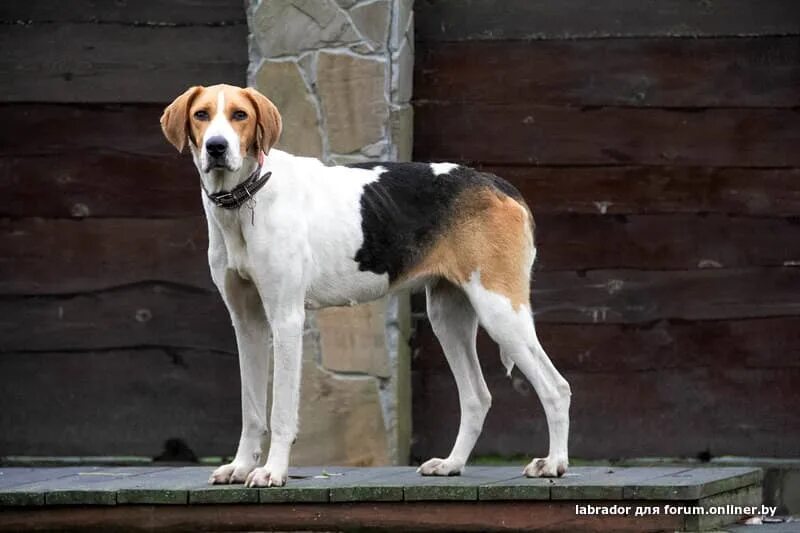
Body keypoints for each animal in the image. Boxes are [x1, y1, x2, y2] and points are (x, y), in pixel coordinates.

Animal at [159, 83, 568, 486]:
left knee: (556, 388)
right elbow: (252, 410)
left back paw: (553, 463)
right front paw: (242, 466)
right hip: (448, 318)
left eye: (240, 115)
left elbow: (281, 413)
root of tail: (498, 184)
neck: (246, 196)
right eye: (201, 115)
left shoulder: (286, 320)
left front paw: (272, 471)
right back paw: (452, 463)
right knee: (477, 397)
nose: (216, 147)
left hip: (500, 312)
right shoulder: (248, 325)